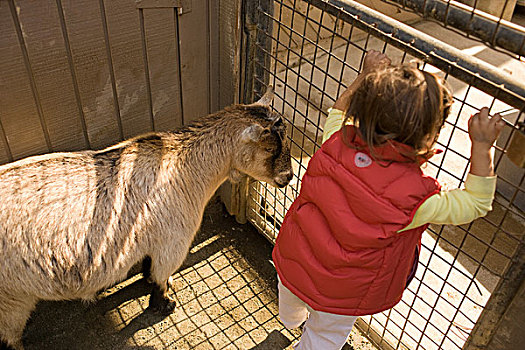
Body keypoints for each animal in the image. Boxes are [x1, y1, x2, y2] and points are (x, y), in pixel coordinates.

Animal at [0, 88, 290, 350]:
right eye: (269, 148)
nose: (288, 178)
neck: (187, 164)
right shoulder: (173, 242)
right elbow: (161, 276)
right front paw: (164, 303)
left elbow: (149, 267)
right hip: (12, 299)